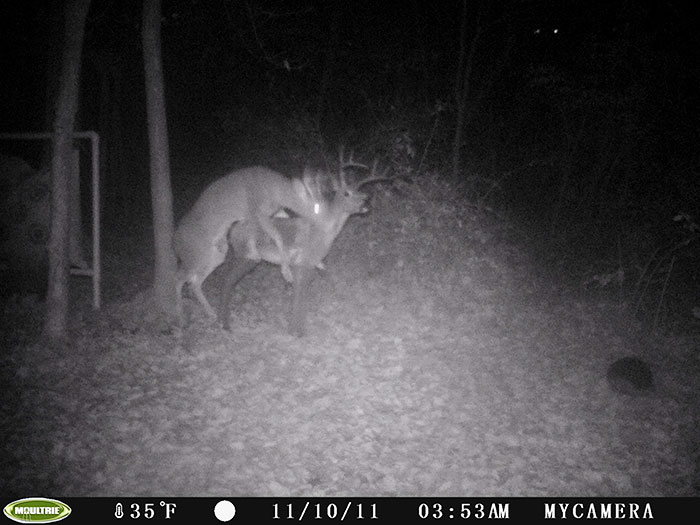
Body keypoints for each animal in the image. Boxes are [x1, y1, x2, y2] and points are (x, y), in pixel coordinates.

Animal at [218, 154, 387, 336]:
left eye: (361, 193)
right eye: (347, 193)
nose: (367, 205)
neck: (322, 233)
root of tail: (231, 230)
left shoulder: (311, 264)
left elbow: (304, 294)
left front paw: (299, 329)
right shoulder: (302, 262)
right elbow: (299, 294)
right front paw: (295, 332)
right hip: (247, 255)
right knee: (227, 281)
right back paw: (224, 324)